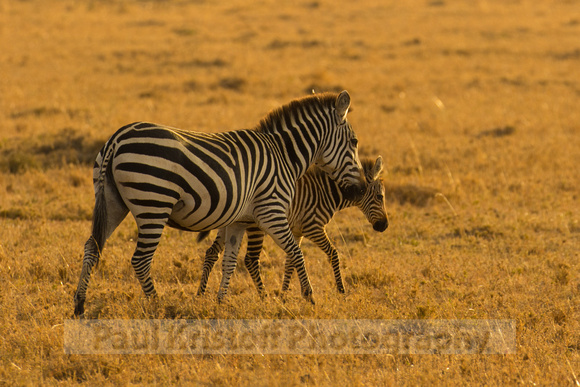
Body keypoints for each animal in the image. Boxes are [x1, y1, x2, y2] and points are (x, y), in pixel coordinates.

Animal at [72, 92, 364, 316]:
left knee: (91, 248)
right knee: (141, 260)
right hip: (154, 203)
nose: (361, 188)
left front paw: (221, 301)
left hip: (112, 202)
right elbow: (296, 251)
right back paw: (157, 304)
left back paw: (79, 304)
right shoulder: (271, 211)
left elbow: (230, 261)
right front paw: (309, 296)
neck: (285, 155)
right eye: (354, 142)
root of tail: (117, 138)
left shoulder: (238, 220)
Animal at [199, 156, 390, 296]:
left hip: (228, 222)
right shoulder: (313, 228)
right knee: (250, 260)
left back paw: (200, 294)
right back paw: (264, 297)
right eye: (380, 197)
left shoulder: (297, 232)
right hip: (255, 226)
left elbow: (290, 261)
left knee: (212, 252)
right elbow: (333, 253)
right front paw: (341, 290)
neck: (325, 193)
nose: (384, 226)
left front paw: (284, 295)